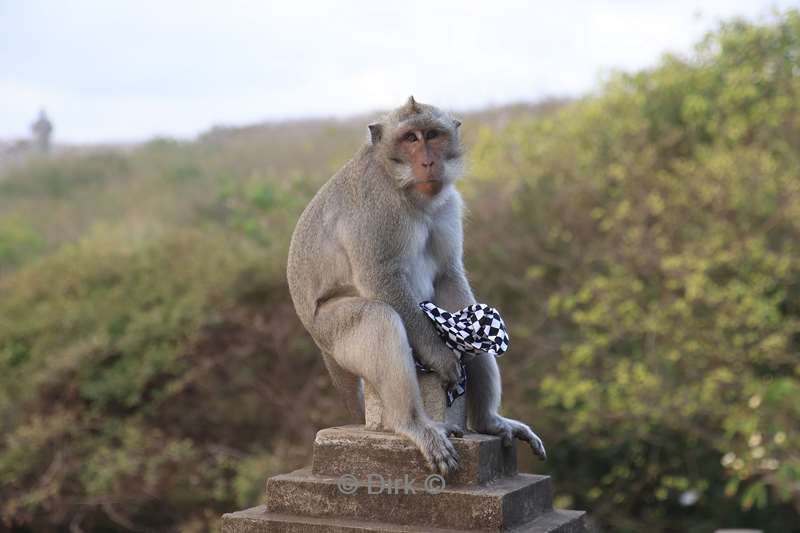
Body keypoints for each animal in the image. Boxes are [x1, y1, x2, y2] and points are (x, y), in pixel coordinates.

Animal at [288, 96, 544, 474]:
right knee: (379, 318)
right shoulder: (377, 206)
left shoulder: (449, 204)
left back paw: (489, 421)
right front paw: (440, 356)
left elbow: (449, 276)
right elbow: (379, 277)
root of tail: (320, 346)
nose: (428, 161)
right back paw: (412, 424)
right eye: (409, 138)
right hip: (330, 333)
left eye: (433, 135)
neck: (405, 189)